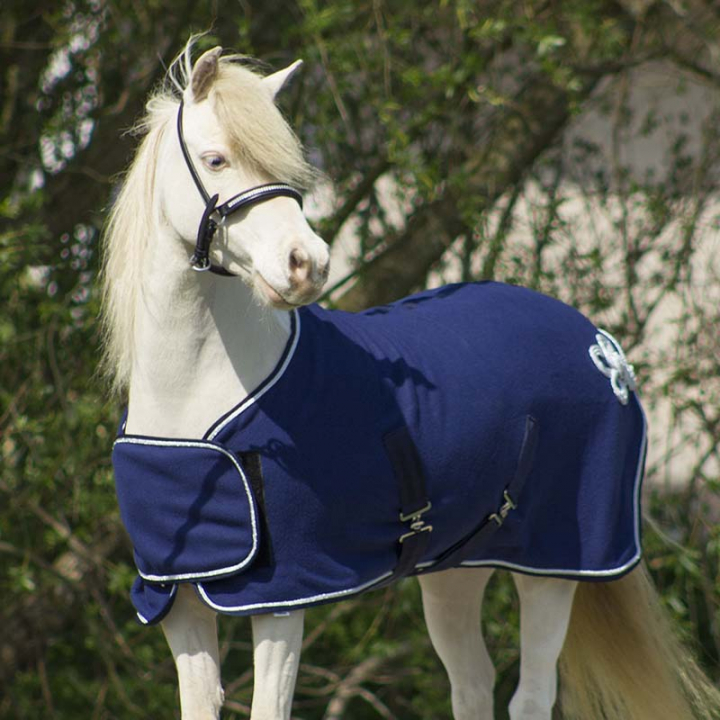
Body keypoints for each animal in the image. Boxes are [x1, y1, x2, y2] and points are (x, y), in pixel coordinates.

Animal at [101, 38, 719, 720]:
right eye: (215, 159)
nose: (307, 264)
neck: (194, 408)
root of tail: (605, 351)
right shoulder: (179, 603)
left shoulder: (283, 597)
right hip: (458, 569)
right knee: (473, 684)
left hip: (557, 566)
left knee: (530, 695)